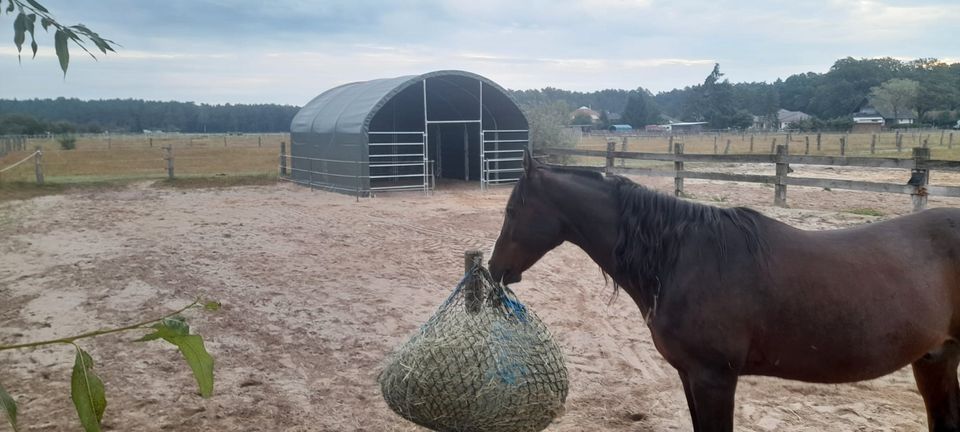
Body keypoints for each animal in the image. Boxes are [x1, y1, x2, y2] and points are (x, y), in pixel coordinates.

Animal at [492, 150, 960, 430]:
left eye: (512, 210)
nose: (496, 269)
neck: (680, 258)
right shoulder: (690, 375)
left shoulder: (714, 378)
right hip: (934, 358)